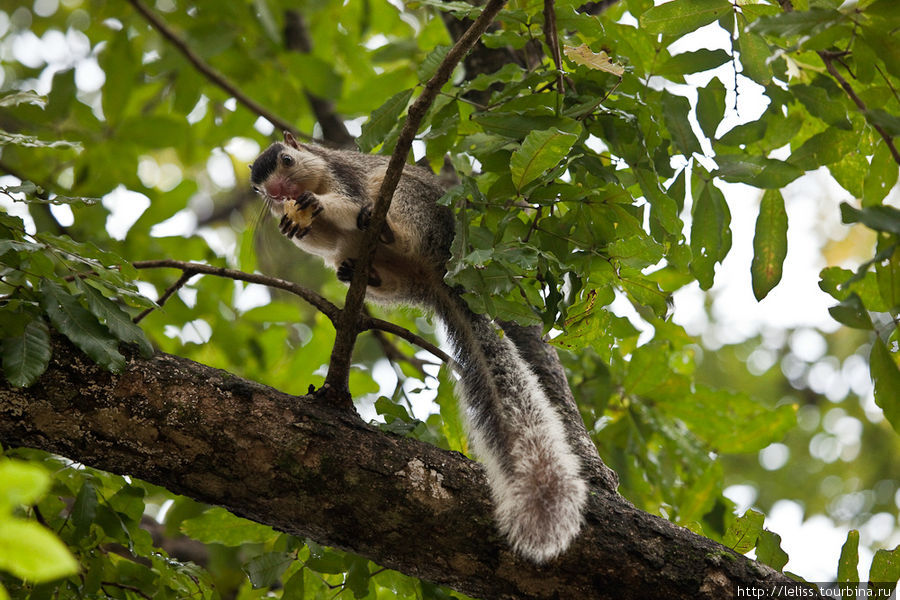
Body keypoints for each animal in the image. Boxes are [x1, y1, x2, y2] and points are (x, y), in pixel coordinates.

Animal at [250, 131, 588, 564]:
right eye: (260, 190)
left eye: (288, 161)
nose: (279, 193)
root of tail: (436, 272)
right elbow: (318, 237)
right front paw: (293, 222)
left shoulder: (345, 178)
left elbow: (345, 203)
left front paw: (317, 204)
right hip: (377, 266)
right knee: (361, 262)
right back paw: (361, 273)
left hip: (409, 204)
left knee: (383, 215)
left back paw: (387, 230)